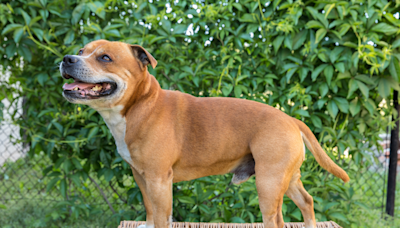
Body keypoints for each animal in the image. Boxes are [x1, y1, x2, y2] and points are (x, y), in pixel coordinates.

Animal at [60, 39, 350, 228]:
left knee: (276, 219)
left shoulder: (158, 180)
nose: (67, 59)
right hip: (287, 178)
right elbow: (150, 208)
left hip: (268, 182)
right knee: (307, 201)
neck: (139, 104)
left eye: (105, 58)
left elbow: (162, 215)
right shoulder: (141, 177)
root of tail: (291, 118)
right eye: (81, 51)